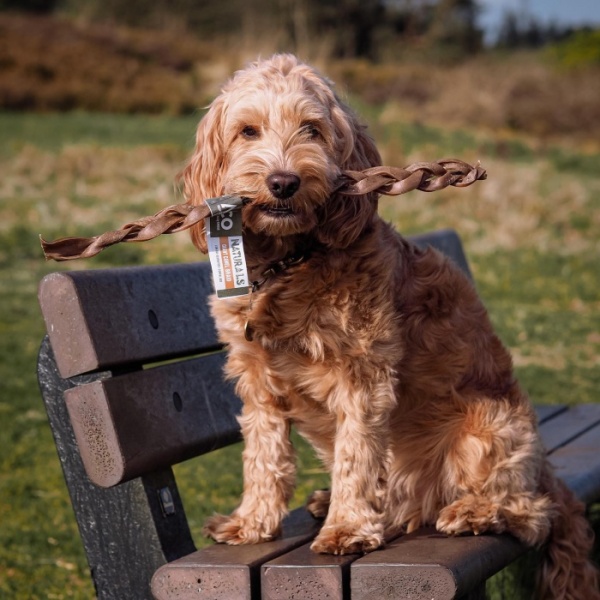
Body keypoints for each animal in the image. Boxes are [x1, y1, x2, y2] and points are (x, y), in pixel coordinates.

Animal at [180, 54, 596, 596]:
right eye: (247, 131)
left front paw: (347, 528)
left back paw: (472, 511)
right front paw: (251, 522)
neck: (291, 262)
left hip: (487, 431)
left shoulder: (363, 373)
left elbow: (358, 455)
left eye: (312, 130)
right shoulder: (257, 381)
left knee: (530, 511)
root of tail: (547, 471)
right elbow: (263, 457)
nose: (283, 182)